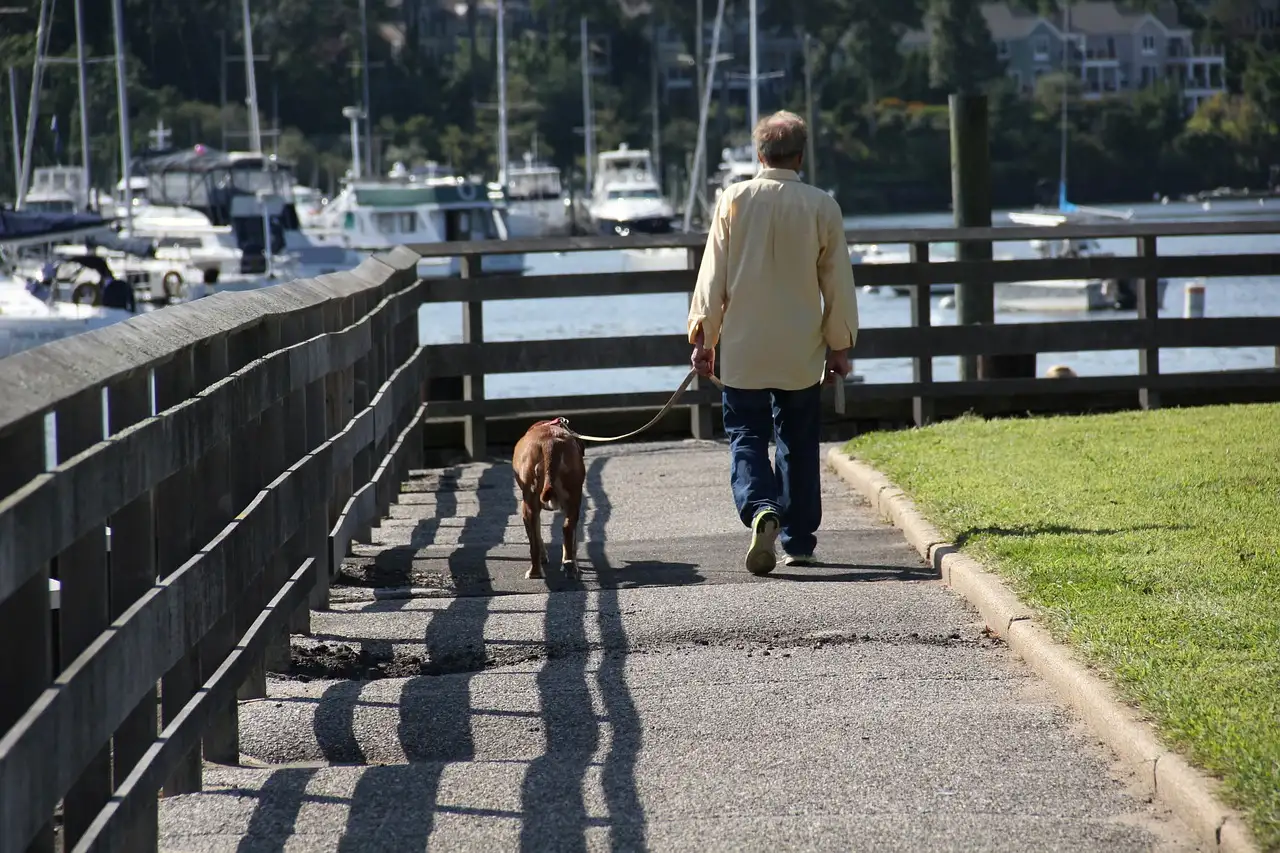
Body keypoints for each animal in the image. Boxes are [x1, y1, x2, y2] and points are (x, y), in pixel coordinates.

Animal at [512, 417, 586, 578]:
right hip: (573, 500)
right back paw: (569, 565)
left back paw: (535, 572)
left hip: (529, 505)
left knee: (535, 543)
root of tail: (549, 443)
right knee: (567, 529)